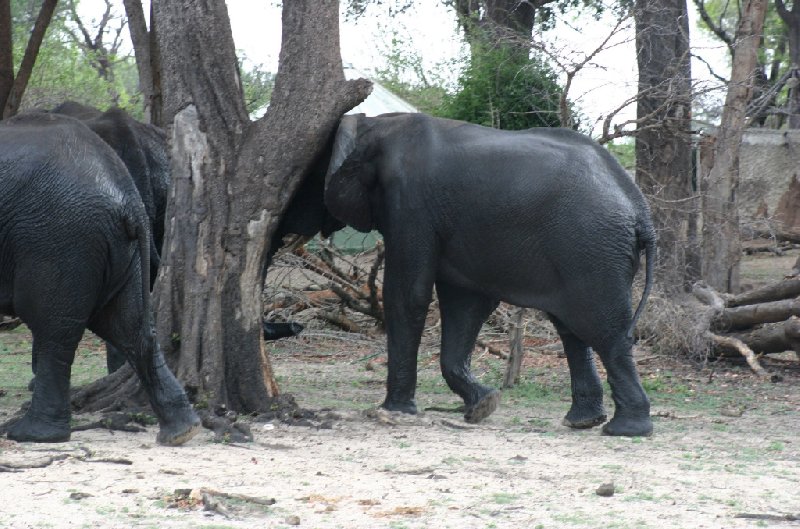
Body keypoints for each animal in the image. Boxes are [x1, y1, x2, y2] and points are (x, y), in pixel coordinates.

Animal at [0, 112, 200, 446]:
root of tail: (127, 196)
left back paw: (33, 434)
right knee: (131, 327)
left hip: (60, 239)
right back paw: (182, 431)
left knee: (53, 330)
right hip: (116, 248)